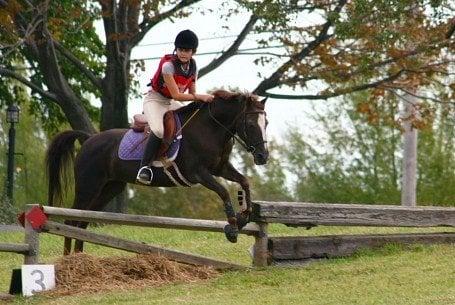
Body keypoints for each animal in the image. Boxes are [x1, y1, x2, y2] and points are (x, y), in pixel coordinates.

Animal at [47, 89, 268, 253]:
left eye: (266, 123)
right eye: (250, 124)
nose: (263, 157)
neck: (211, 128)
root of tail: (88, 139)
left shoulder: (220, 168)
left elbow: (244, 182)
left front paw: (244, 217)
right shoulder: (198, 173)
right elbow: (223, 191)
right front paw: (232, 228)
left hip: (110, 188)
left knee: (82, 221)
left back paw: (79, 258)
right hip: (88, 187)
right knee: (71, 219)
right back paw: (68, 259)